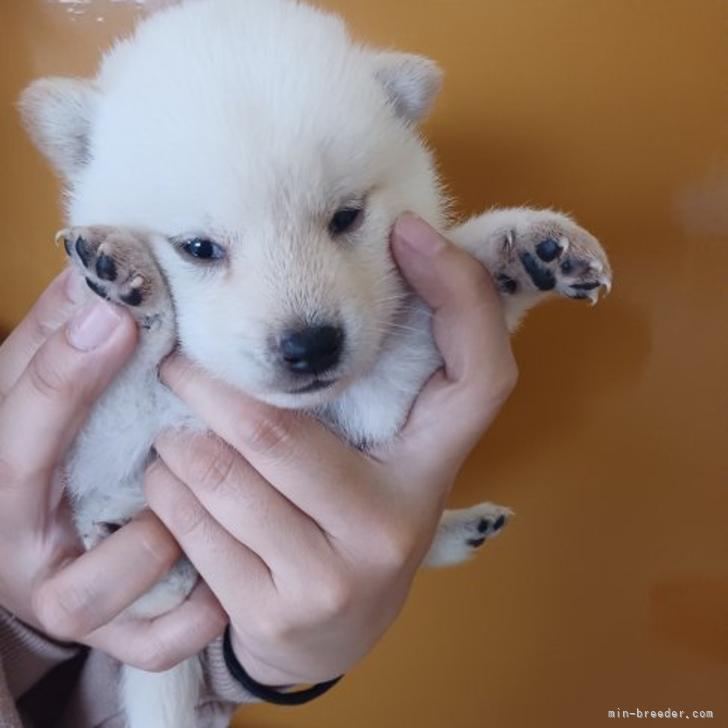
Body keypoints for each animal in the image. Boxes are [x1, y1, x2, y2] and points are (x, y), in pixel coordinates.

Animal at [18, 2, 608, 724]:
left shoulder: (377, 396)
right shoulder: (97, 443)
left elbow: (419, 308)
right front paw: (133, 284)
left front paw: (517, 251)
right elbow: (129, 383)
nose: (312, 345)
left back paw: (459, 527)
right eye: (197, 247)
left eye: (347, 217)